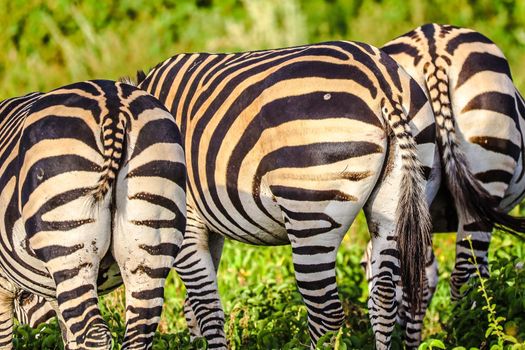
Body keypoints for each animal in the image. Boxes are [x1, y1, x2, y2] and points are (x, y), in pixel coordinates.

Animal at [0, 80, 186, 350]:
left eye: (25, 298)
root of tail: (113, 105)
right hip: (151, 234)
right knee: (138, 333)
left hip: (69, 243)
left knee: (96, 335)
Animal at [131, 39, 438, 348]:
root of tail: (382, 82)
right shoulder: (209, 229)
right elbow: (193, 307)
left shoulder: (184, 222)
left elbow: (205, 308)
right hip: (395, 203)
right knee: (384, 299)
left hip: (310, 213)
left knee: (326, 313)